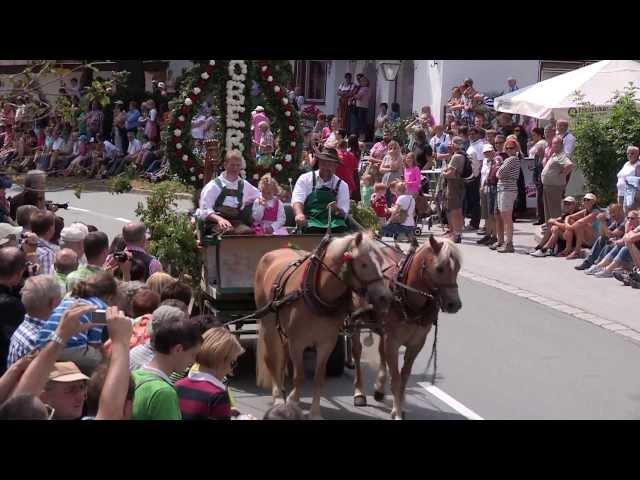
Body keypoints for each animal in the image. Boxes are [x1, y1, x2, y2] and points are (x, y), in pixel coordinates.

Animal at [254, 231, 392, 418]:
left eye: (381, 261)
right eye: (364, 264)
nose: (385, 298)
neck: (316, 292)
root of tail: (273, 252)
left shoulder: (326, 343)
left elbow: (319, 378)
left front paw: (314, 412)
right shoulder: (297, 343)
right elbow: (299, 376)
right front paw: (293, 401)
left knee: (282, 354)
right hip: (267, 321)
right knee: (271, 358)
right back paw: (277, 398)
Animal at [352, 234, 462, 418]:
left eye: (458, 269)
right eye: (440, 268)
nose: (455, 304)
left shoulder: (416, 343)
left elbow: (404, 376)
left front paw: (400, 406)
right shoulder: (393, 342)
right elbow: (396, 378)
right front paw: (396, 412)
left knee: (381, 352)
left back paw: (379, 388)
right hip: (355, 321)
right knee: (357, 353)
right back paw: (359, 392)